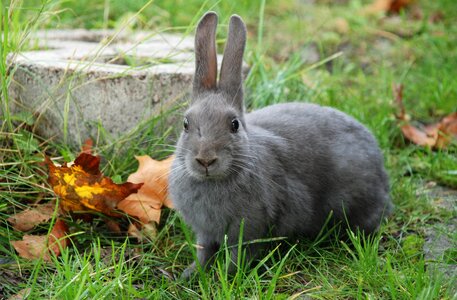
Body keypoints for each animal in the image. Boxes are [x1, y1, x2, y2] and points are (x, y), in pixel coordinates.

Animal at [168, 11, 392, 278]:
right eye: (186, 124)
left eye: (234, 124)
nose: (205, 159)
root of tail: (381, 168)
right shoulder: (205, 232)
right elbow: (204, 252)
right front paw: (190, 275)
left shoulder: (249, 229)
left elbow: (238, 256)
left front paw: (227, 276)